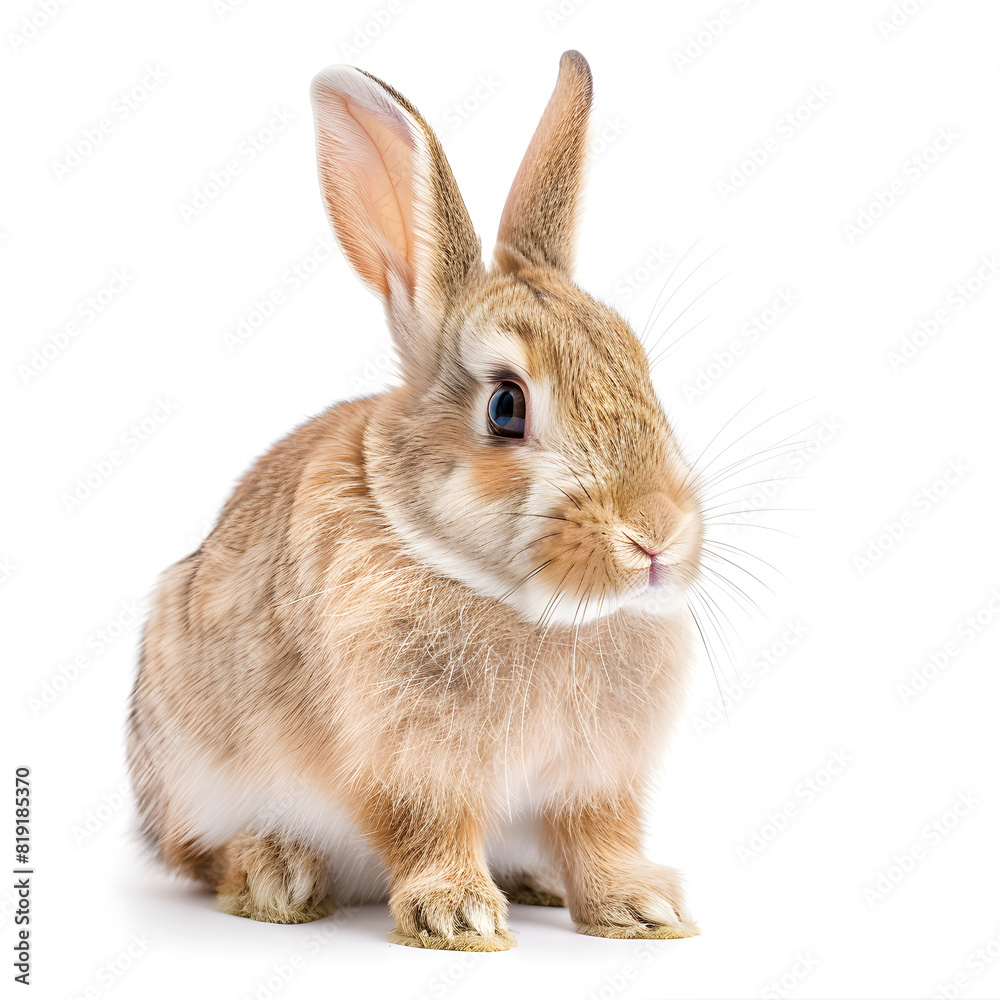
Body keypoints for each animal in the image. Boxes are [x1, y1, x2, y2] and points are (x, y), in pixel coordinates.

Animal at [126, 49, 705, 952]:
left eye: (640, 369)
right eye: (506, 407)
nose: (656, 537)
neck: (528, 606)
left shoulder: (593, 779)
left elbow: (598, 838)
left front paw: (642, 908)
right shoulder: (406, 758)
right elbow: (427, 827)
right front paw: (458, 916)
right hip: (193, 769)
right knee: (201, 855)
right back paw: (278, 875)